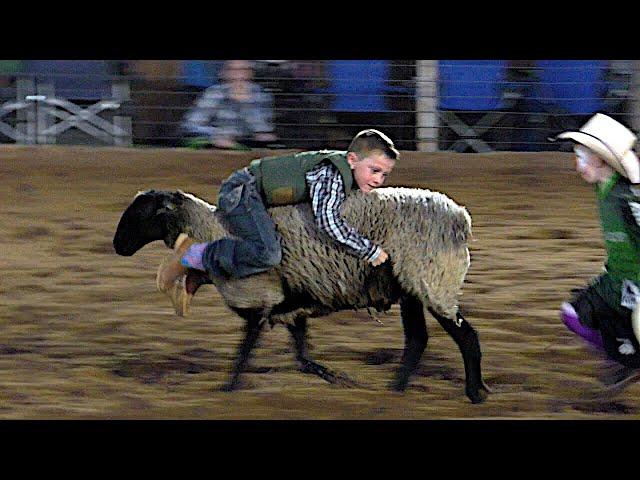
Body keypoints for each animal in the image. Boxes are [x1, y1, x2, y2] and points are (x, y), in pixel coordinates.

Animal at [114, 187, 490, 402]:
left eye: (141, 213)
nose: (117, 246)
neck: (212, 232)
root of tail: (461, 219)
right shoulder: (288, 307)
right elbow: (303, 358)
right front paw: (337, 379)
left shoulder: (258, 300)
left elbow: (243, 355)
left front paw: (226, 391)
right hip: (411, 287)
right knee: (417, 340)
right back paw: (395, 393)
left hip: (432, 280)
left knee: (465, 337)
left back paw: (475, 393)